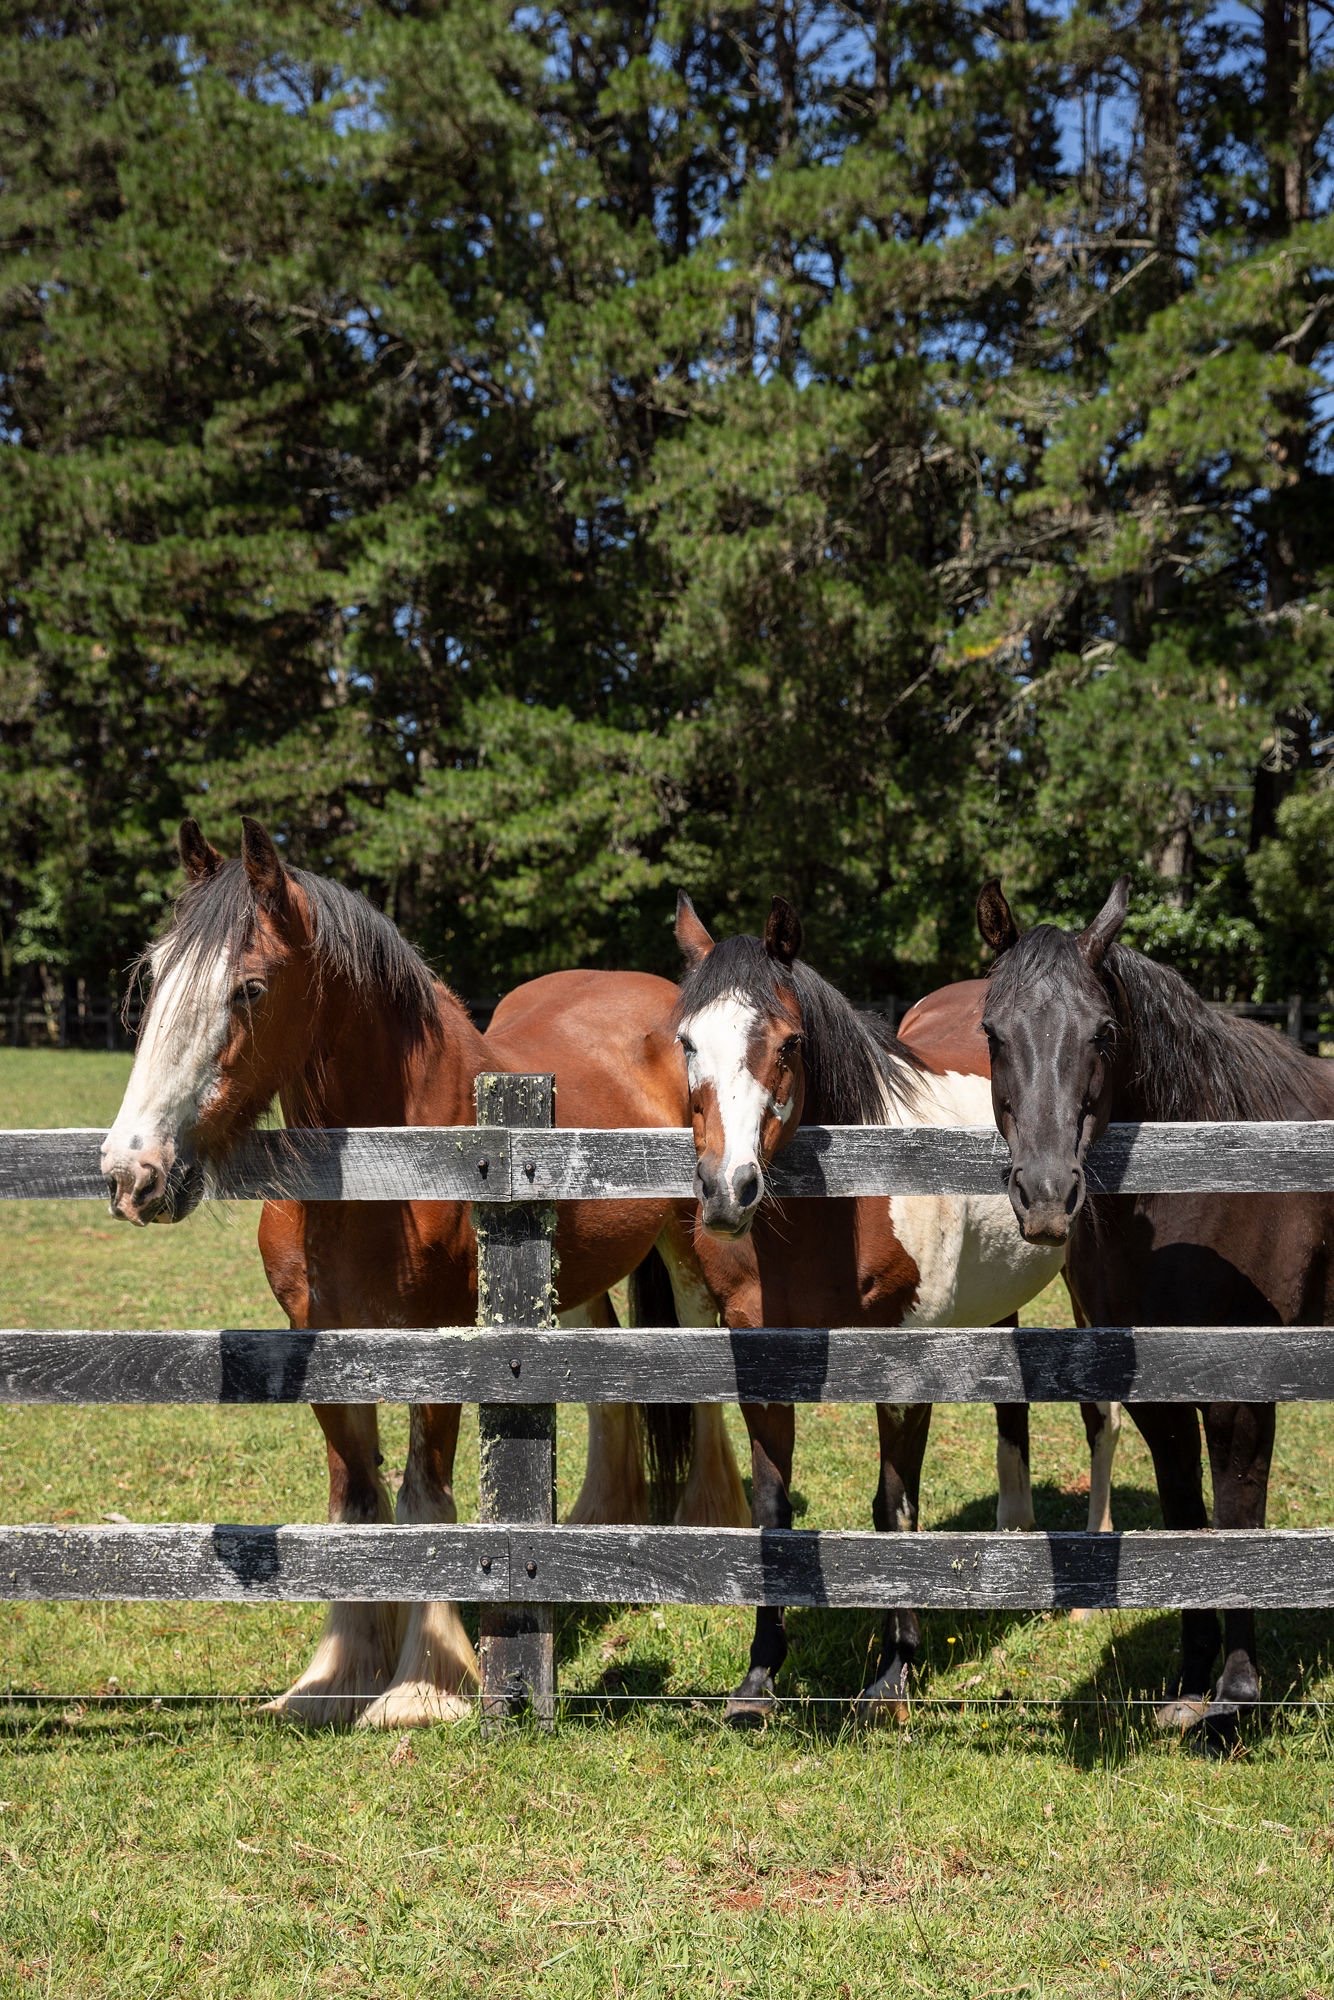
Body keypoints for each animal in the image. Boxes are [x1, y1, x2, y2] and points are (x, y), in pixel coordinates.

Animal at [100, 817, 745, 1728]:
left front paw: (422, 1688)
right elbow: (357, 1501)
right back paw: (591, 1531)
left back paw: (707, 1525)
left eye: (250, 990)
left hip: (691, 1242)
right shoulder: (323, 1338)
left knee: (698, 1364)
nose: (135, 1175)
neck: (383, 1163)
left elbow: (422, 1497)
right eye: (155, 980)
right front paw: (337, 1678)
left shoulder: (441, 1338)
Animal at [669, 891, 1116, 1723]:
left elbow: (894, 1509)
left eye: (789, 1043)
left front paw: (893, 1674)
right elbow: (773, 1510)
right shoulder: (761, 1363)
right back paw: (1014, 1533)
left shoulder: (903, 1372)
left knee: (1100, 1415)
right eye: (686, 1042)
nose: (727, 1191)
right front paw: (757, 1681)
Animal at [976, 875, 1334, 1737]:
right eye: (992, 1032)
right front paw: (1192, 1679)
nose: (1046, 1198)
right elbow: (1184, 1516)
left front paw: (1236, 1699)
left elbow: (1236, 1517)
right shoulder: (1156, 1393)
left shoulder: (1242, 1388)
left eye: (1103, 1032)